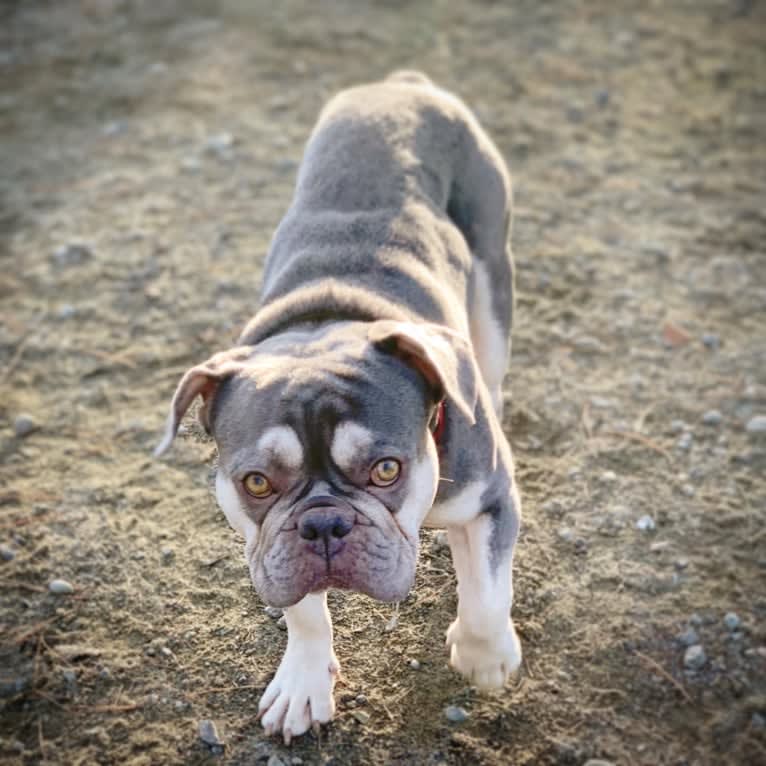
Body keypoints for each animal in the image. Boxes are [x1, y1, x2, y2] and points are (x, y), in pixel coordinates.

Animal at [156, 72, 520, 744]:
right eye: (256, 482)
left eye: (386, 469)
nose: (324, 523)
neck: (324, 327)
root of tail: (402, 84)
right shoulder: (271, 547)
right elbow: (302, 610)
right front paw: (303, 681)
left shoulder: (490, 500)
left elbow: (485, 589)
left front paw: (485, 656)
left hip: (492, 272)